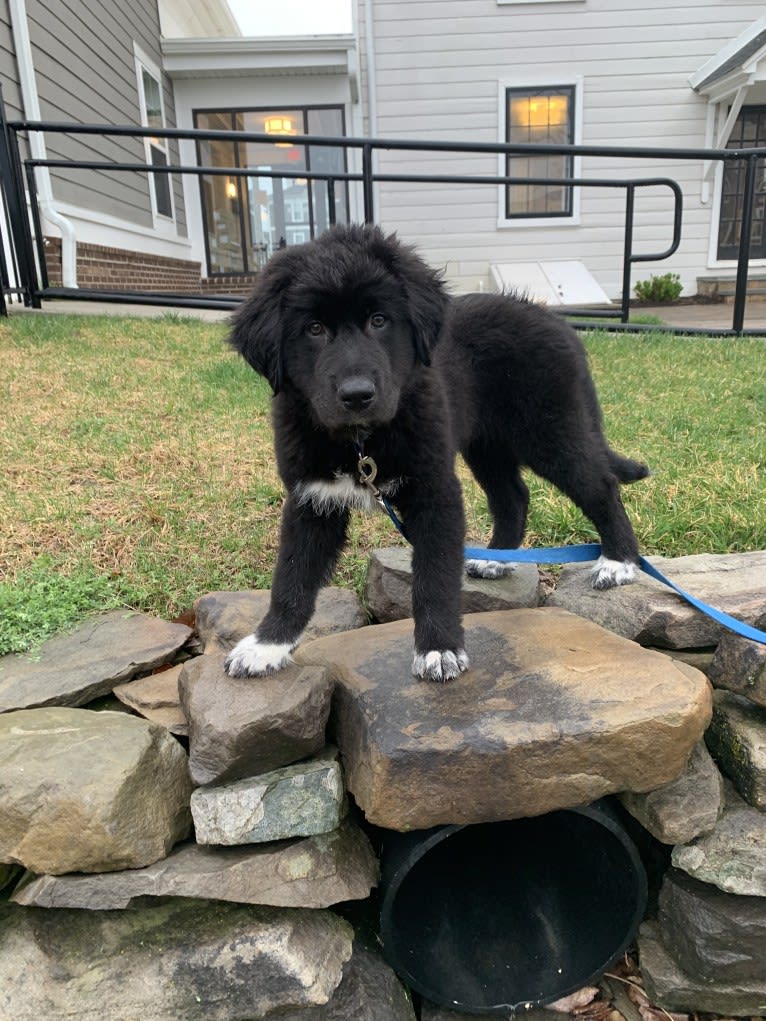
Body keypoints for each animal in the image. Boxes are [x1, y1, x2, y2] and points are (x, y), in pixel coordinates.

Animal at [223, 227, 649, 682]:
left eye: (379, 320)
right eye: (314, 328)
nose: (358, 395)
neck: (360, 442)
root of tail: (555, 320)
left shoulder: (435, 491)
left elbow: (434, 575)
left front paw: (438, 648)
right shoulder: (311, 499)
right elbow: (292, 576)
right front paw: (267, 645)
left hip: (551, 431)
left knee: (600, 485)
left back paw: (619, 562)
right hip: (487, 445)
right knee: (513, 497)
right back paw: (497, 560)